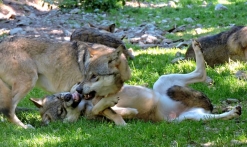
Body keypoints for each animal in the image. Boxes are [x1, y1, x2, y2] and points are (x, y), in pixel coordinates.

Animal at [0, 36, 130, 129]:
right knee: (8, 111)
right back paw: (25, 127)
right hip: (28, 82)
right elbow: (109, 110)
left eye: (93, 76)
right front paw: (123, 125)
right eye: (85, 75)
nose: (78, 90)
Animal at [30, 40, 241, 124]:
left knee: (200, 73)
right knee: (217, 113)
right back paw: (233, 112)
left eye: (60, 98)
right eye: (61, 111)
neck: (84, 104)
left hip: (163, 81)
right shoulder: (97, 112)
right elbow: (104, 110)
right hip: (188, 118)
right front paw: (114, 107)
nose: (70, 96)